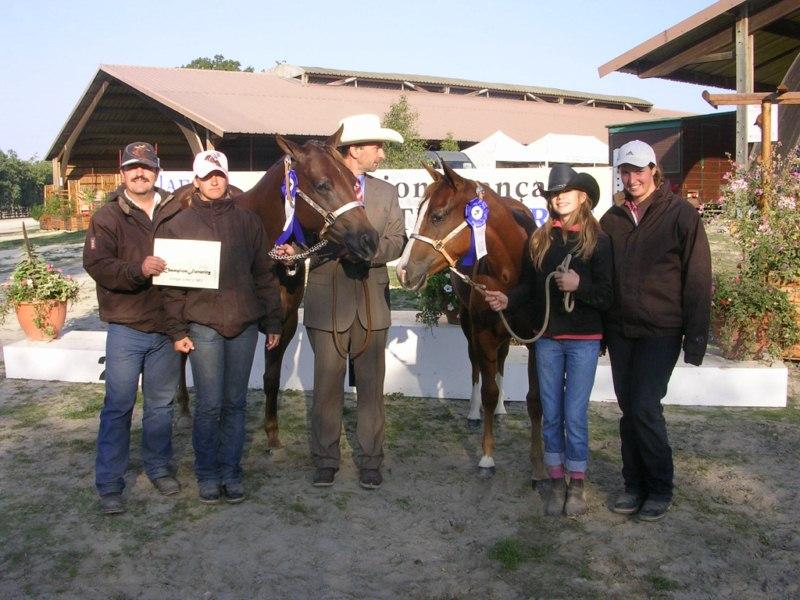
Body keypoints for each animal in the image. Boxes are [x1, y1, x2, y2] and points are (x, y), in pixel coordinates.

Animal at [172, 131, 378, 450]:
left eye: (351, 180)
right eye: (323, 184)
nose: (369, 239)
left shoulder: (283, 323)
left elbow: (271, 377)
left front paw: (271, 434)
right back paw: (182, 410)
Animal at [396, 164, 548, 482]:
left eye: (437, 216)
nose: (403, 270)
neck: (512, 275)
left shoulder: (535, 341)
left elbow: (535, 400)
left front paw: (538, 466)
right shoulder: (484, 334)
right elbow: (488, 390)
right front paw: (487, 457)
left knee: (501, 363)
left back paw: (501, 410)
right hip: (468, 324)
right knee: (477, 368)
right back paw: (475, 413)